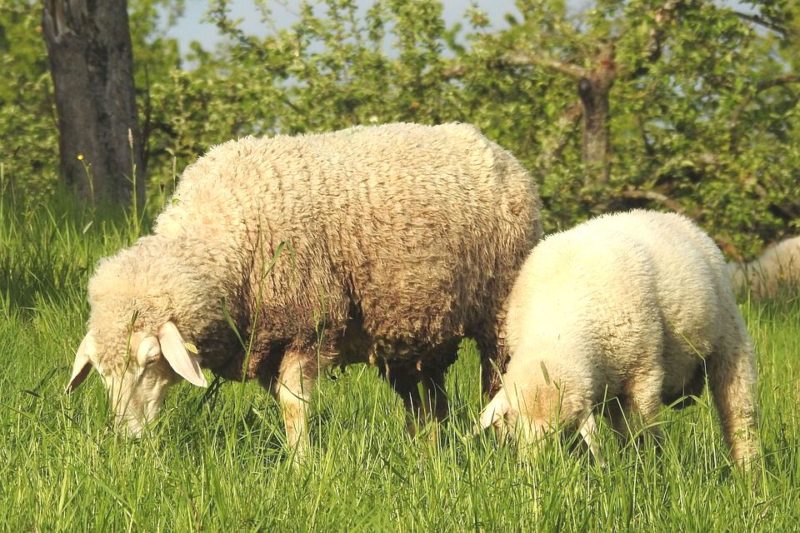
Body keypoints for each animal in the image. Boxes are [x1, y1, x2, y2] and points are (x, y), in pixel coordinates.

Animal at [66, 122, 542, 455]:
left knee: (495, 379)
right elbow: (283, 402)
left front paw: (302, 466)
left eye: (150, 360)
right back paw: (428, 454)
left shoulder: (307, 325)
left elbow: (295, 406)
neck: (220, 236)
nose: (127, 437)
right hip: (413, 328)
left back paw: (497, 444)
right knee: (427, 401)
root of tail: (495, 148)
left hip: (497, 308)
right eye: (102, 372)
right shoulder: (266, 340)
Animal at [479, 210, 759, 468]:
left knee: (740, 417)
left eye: (564, 429)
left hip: (730, 342)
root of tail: (673, 217)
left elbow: (641, 430)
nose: (536, 468)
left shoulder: (644, 374)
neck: (555, 332)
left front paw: (645, 468)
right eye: (514, 422)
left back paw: (748, 472)